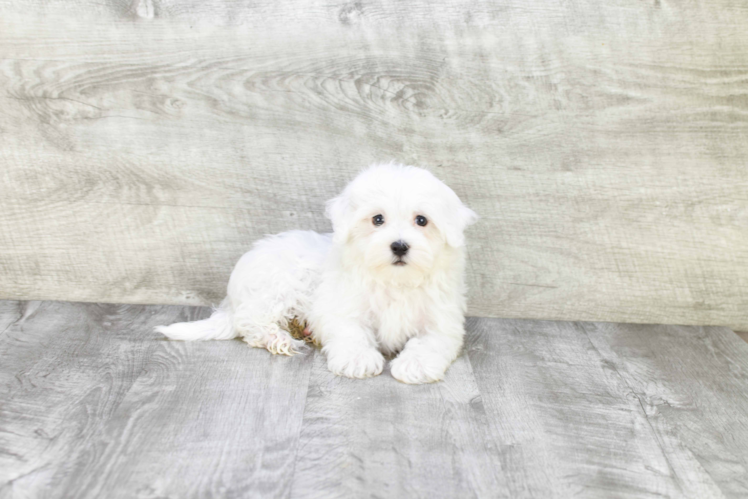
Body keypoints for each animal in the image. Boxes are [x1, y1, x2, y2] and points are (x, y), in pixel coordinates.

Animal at [156, 163, 480, 382]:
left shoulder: (441, 320)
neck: (394, 281)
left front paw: (416, 364)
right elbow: (351, 333)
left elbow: (430, 341)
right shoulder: (343, 308)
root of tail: (232, 299)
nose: (399, 246)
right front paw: (357, 360)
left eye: (422, 220)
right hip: (275, 285)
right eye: (377, 219)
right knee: (250, 322)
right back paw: (279, 338)